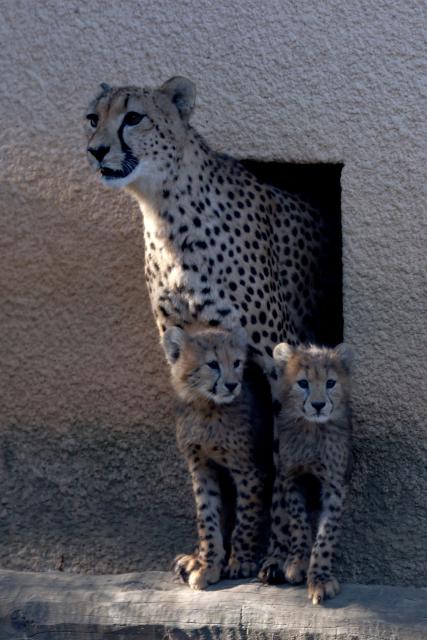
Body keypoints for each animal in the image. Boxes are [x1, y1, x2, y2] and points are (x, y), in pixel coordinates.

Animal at [162, 325, 273, 590]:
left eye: (237, 362)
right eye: (212, 364)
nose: (232, 385)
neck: (206, 406)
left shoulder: (250, 470)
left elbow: (246, 518)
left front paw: (241, 561)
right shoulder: (201, 467)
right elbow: (207, 516)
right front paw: (208, 563)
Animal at [258, 342, 352, 604]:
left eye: (330, 383)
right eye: (303, 383)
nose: (318, 405)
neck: (312, 429)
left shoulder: (334, 485)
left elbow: (326, 536)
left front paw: (320, 578)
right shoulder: (290, 477)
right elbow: (297, 521)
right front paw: (297, 560)